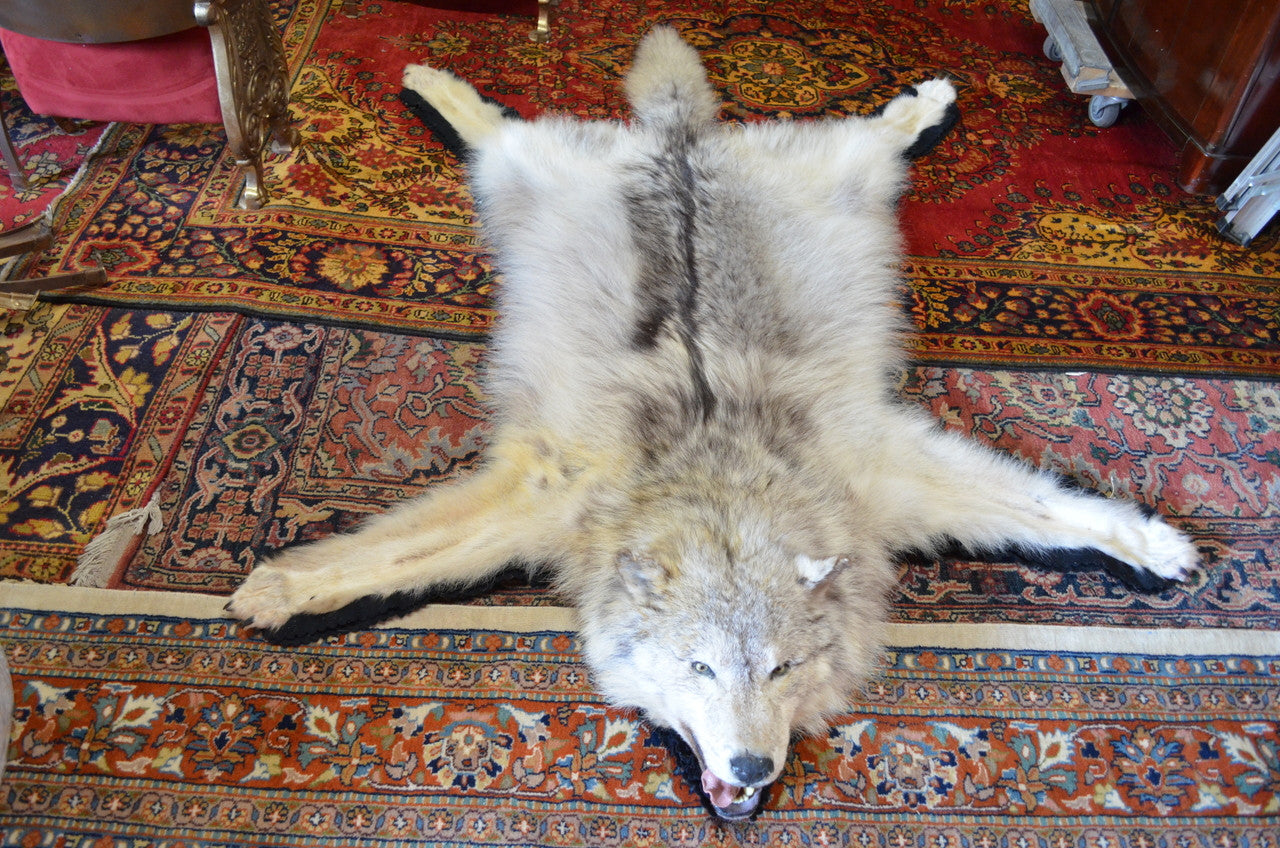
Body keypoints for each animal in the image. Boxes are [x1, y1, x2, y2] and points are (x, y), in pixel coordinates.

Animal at [227, 28, 1198, 820]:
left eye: (779, 669)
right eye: (700, 669)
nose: (751, 769)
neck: (718, 473)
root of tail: (680, 141)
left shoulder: (883, 478)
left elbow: (1058, 515)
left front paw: (1154, 547)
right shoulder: (546, 496)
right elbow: (375, 563)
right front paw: (277, 593)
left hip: (849, 179)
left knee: (880, 133)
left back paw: (927, 105)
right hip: (524, 175)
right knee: (496, 127)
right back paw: (432, 84)